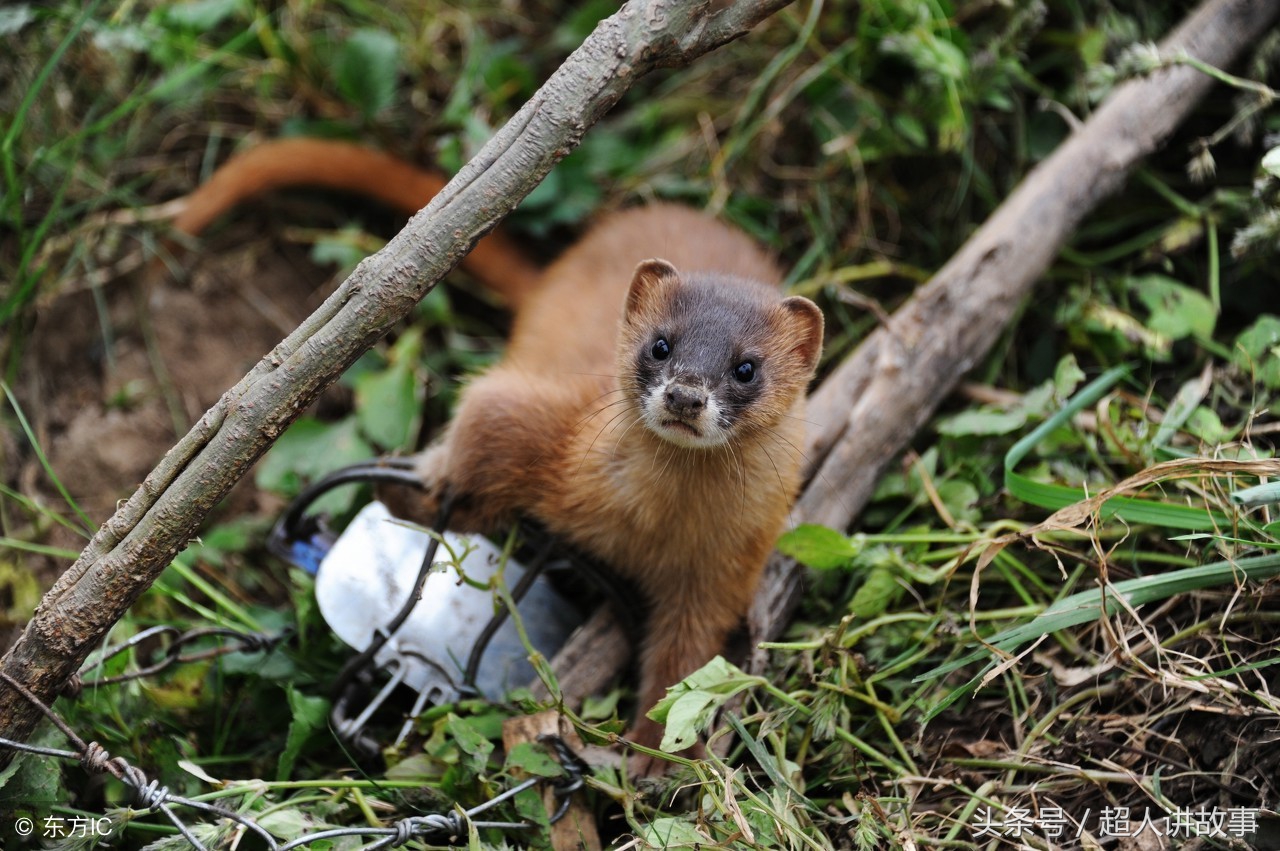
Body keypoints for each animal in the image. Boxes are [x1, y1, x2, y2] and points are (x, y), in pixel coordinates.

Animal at [170, 136, 824, 767]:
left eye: (746, 367)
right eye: (660, 345)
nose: (686, 395)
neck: (648, 526)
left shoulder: (721, 573)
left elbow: (685, 664)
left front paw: (655, 757)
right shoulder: (535, 414)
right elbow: (482, 429)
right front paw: (418, 498)